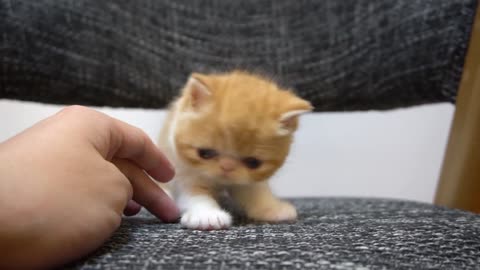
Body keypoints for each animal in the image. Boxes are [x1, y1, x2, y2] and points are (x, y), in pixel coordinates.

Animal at [159, 70, 314, 230]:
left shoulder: (248, 181)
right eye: (205, 153)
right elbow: (196, 195)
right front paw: (207, 215)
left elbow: (255, 194)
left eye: (253, 162)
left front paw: (271, 209)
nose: (227, 167)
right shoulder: (184, 173)